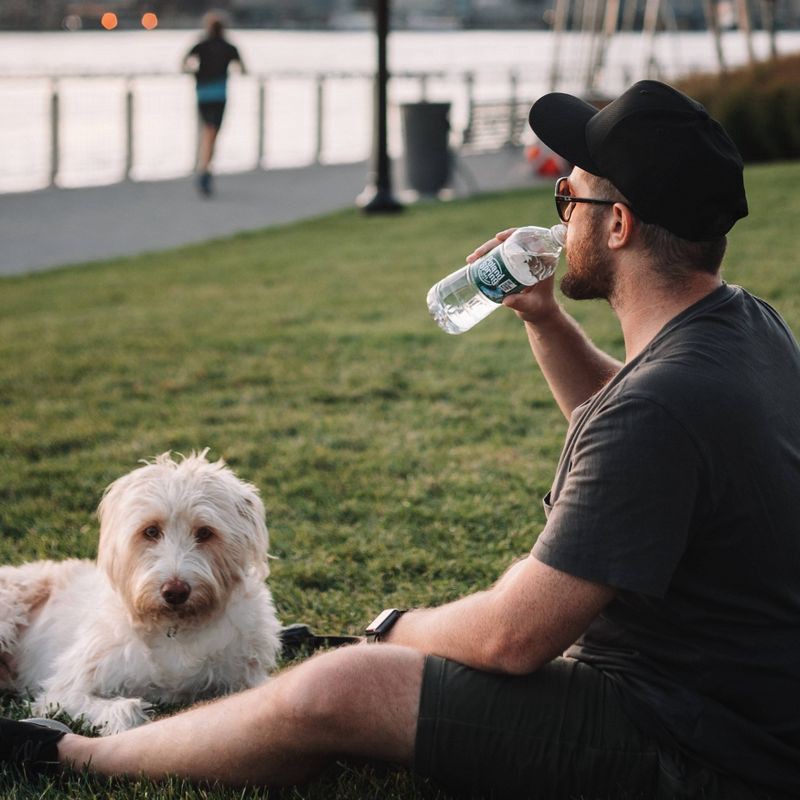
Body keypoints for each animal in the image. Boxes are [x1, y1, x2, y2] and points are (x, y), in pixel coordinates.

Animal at [0, 450, 282, 732]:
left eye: (205, 532)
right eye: (151, 531)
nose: (175, 592)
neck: (174, 628)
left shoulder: (247, 678)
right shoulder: (66, 690)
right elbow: (125, 711)